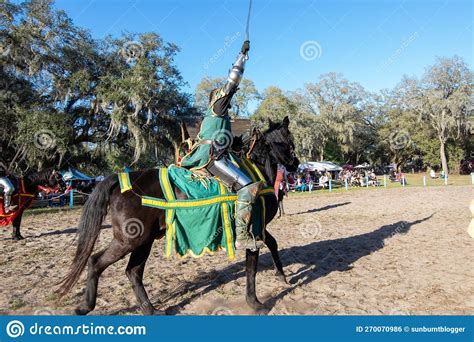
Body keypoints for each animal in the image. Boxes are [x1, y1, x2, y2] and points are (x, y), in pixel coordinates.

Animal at [58, 117, 300, 316]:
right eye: (291, 140)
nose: (295, 164)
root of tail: (119, 181)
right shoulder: (254, 229)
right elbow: (252, 266)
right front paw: (255, 303)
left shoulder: (259, 228)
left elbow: (273, 243)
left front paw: (281, 276)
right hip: (129, 240)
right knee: (96, 262)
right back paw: (85, 306)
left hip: (144, 240)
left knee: (133, 271)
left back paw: (150, 309)